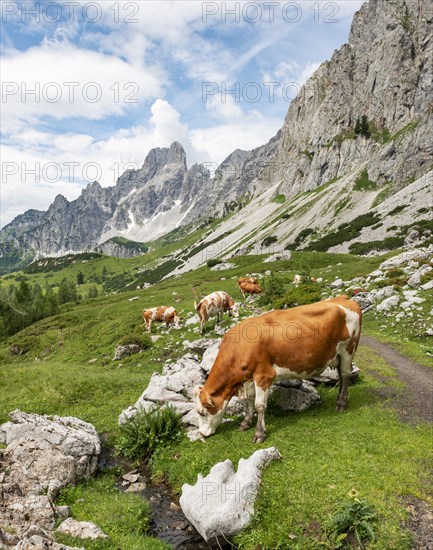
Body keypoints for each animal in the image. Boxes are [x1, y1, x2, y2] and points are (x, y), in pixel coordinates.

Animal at [195, 298, 362, 444]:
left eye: (202, 412)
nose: (202, 433)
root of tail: (344, 298)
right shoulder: (249, 377)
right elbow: (250, 400)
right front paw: (246, 422)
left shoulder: (264, 376)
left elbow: (259, 406)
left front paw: (259, 433)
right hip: (338, 355)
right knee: (341, 375)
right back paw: (342, 398)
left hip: (348, 349)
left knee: (345, 375)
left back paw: (341, 403)